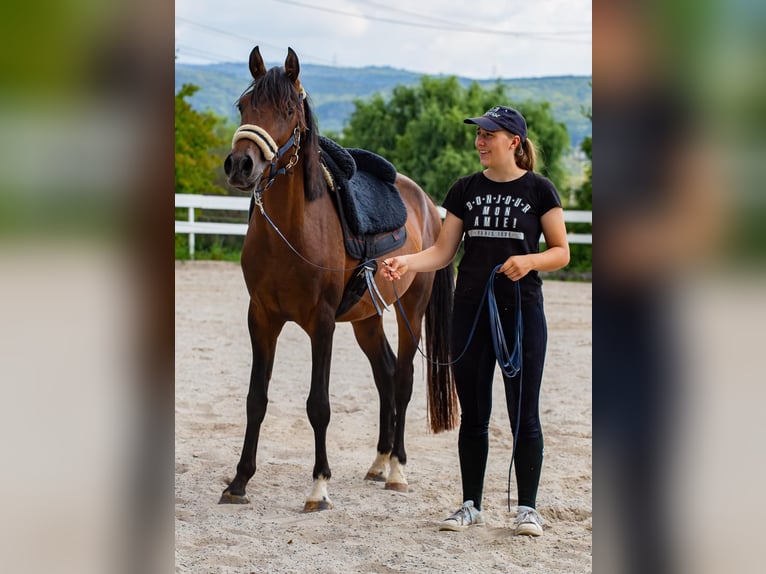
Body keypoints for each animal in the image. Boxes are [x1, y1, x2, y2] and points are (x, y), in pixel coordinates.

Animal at [220, 46, 456, 512]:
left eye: (288, 109)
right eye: (244, 106)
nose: (240, 164)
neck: (292, 231)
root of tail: (427, 204)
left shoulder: (322, 323)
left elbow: (319, 405)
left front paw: (319, 487)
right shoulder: (261, 318)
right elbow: (256, 399)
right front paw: (239, 481)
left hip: (411, 311)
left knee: (403, 380)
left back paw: (397, 469)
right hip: (367, 319)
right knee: (385, 375)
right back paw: (379, 461)